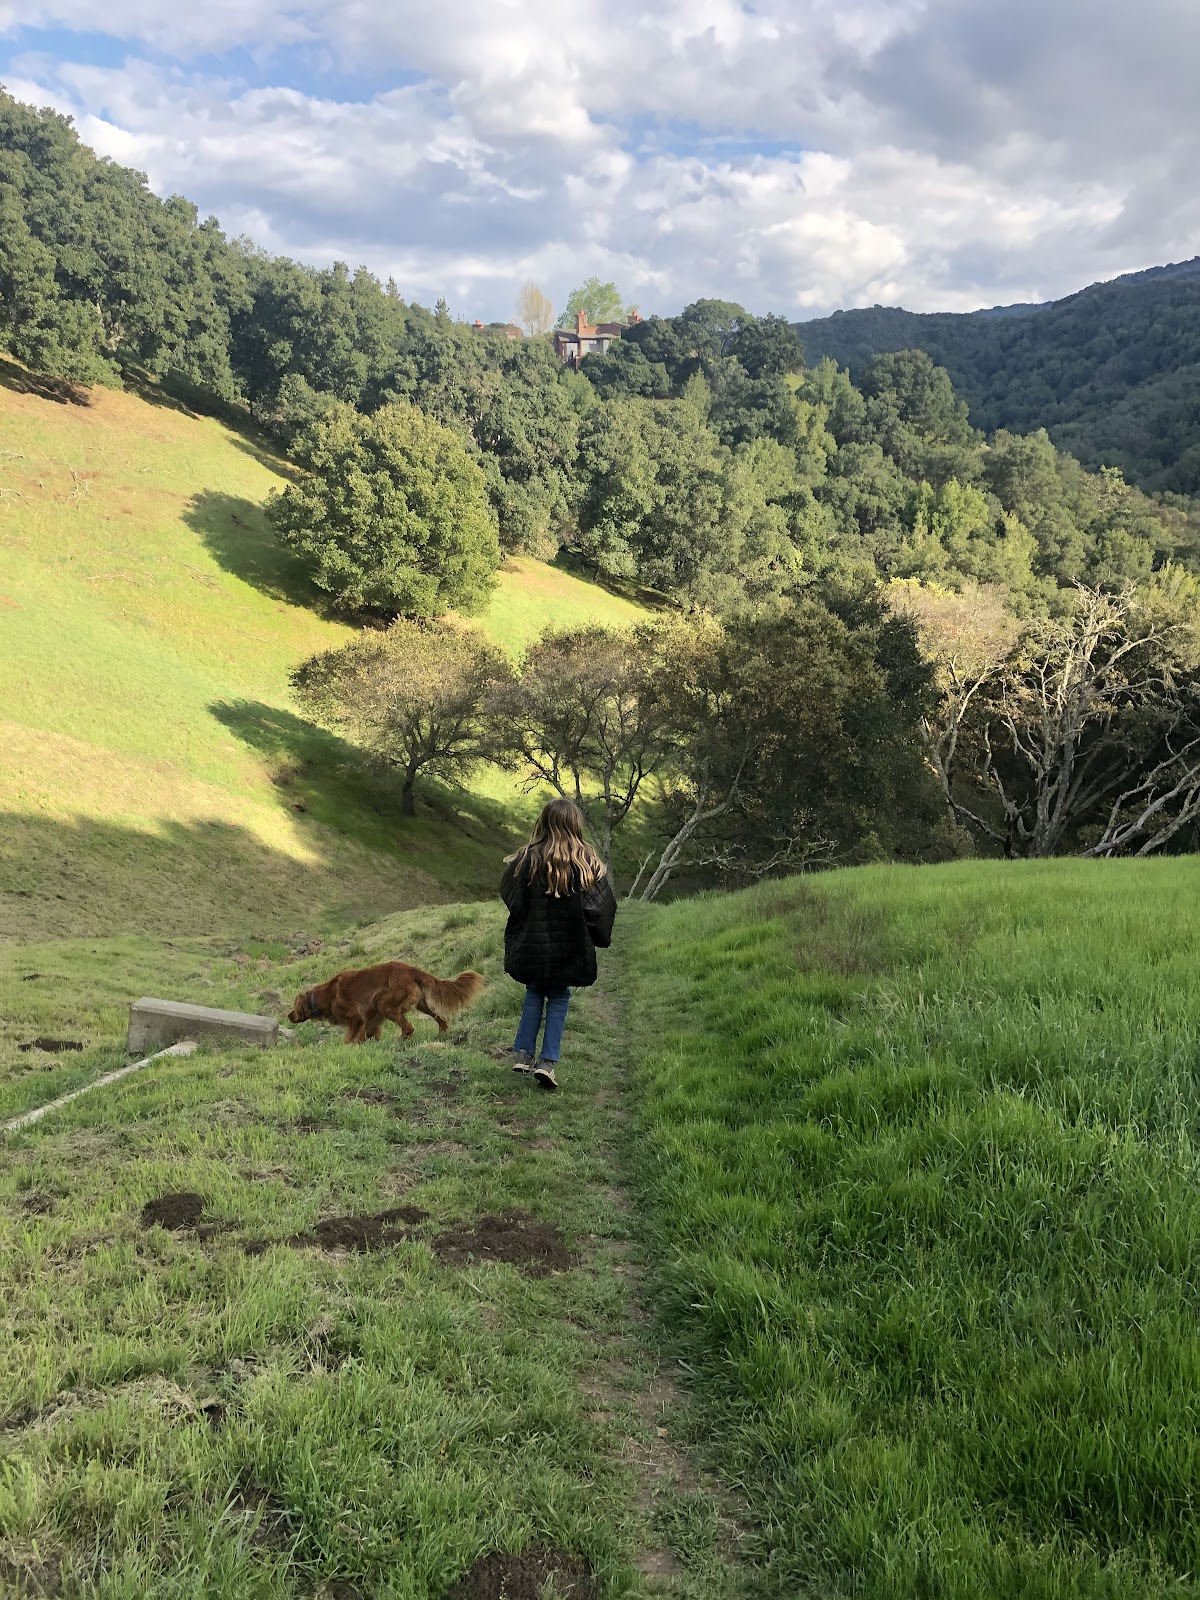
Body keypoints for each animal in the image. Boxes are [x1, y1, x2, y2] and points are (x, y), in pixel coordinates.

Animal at [287, 961, 484, 1045]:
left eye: (294, 1008)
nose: (288, 1016)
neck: (325, 996)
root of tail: (412, 970)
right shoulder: (371, 1017)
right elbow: (369, 1033)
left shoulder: (357, 1015)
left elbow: (351, 1036)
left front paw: (350, 1045)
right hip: (421, 1003)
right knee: (439, 1017)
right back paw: (442, 1031)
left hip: (384, 1003)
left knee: (408, 1028)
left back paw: (400, 1041)